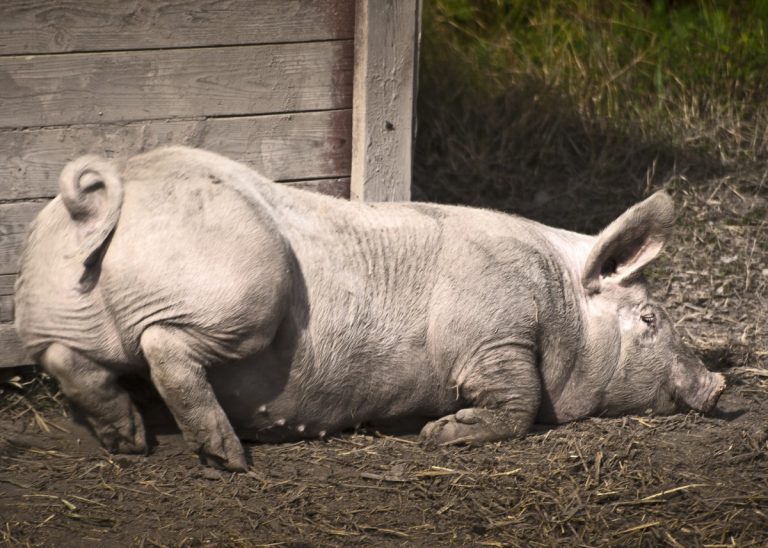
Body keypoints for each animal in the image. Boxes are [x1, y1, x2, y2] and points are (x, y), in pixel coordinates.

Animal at [16, 147, 728, 470]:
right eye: (650, 320)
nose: (720, 385)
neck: (560, 303)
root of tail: (112, 189)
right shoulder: (494, 336)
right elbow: (519, 402)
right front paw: (438, 435)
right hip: (248, 286)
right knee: (162, 346)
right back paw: (228, 458)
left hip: (54, 300)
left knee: (66, 356)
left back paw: (128, 441)